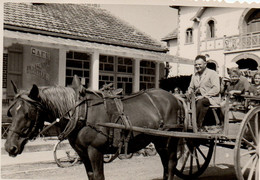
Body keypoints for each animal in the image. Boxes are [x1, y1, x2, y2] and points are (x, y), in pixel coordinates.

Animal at [4, 76, 183, 180]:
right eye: (11, 112)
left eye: (28, 113)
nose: (9, 147)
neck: (80, 113)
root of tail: (175, 98)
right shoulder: (82, 153)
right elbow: (90, 175)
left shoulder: (95, 151)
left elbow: (98, 176)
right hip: (159, 142)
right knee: (166, 165)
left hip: (169, 141)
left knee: (171, 164)